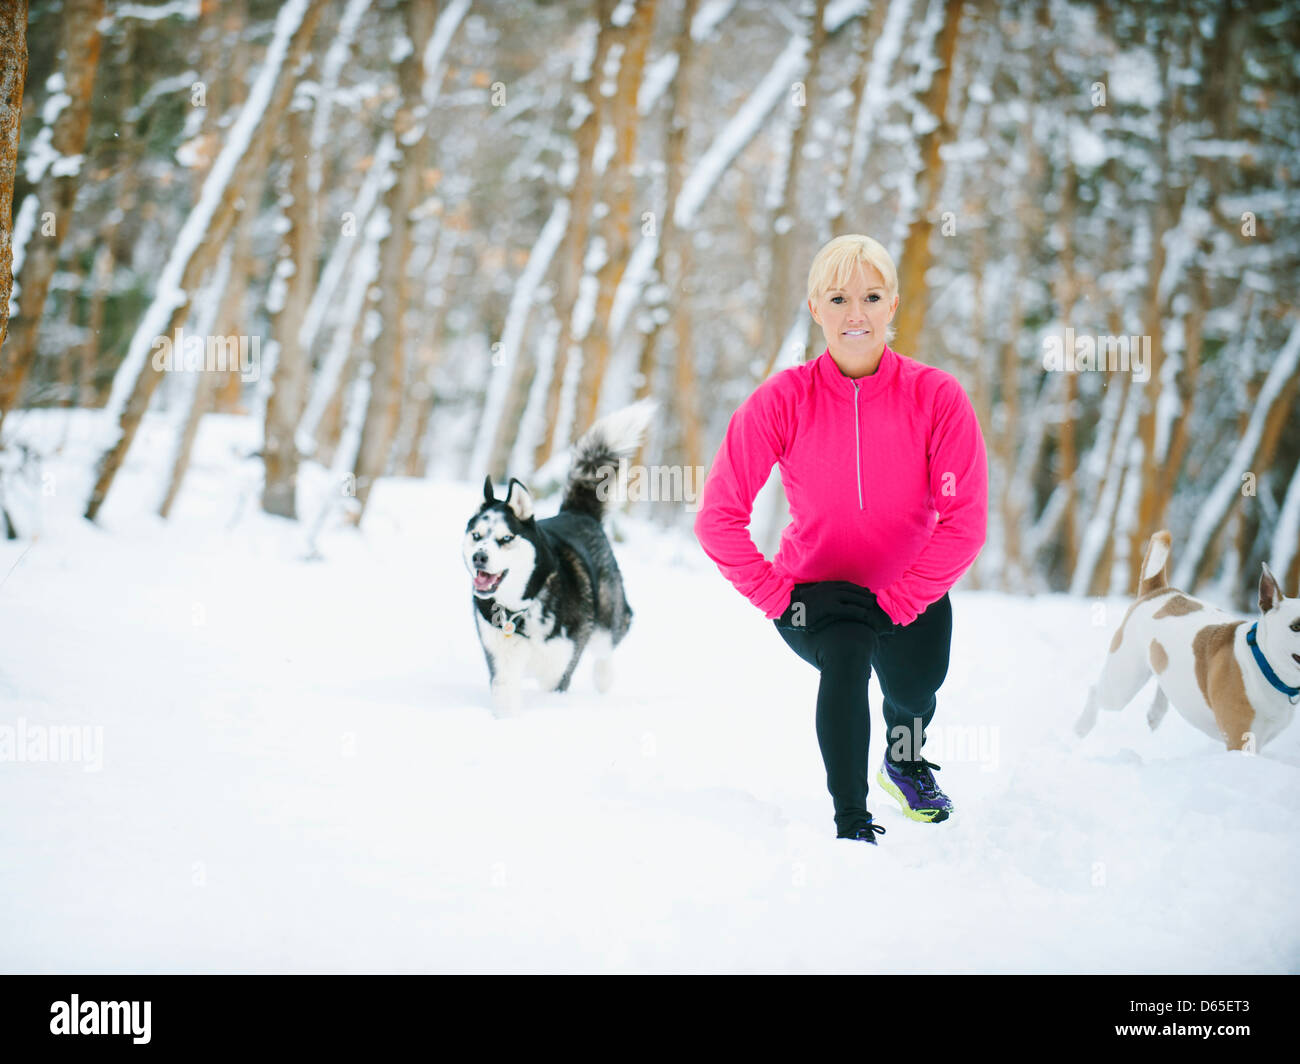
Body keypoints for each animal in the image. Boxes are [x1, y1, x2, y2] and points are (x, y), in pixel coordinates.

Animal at [462, 398, 655, 712]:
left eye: (506, 538)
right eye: (476, 536)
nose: (479, 557)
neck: (521, 610)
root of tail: (576, 513)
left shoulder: (558, 672)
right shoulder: (502, 667)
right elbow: (506, 702)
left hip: (608, 618)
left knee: (610, 642)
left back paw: (604, 678)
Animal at [1076, 528, 1300, 744]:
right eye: (1296, 626)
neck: (1264, 664)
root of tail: (1159, 591)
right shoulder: (1240, 739)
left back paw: (1155, 714)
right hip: (1122, 681)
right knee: (1095, 692)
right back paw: (1081, 730)